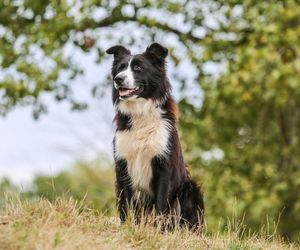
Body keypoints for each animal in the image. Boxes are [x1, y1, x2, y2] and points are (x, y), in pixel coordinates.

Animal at [106, 43, 204, 229]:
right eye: (120, 68)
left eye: (138, 68)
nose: (118, 79)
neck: (141, 113)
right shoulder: (122, 165)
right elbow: (125, 203)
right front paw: (126, 227)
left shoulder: (163, 166)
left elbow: (160, 203)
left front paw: (156, 230)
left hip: (190, 188)